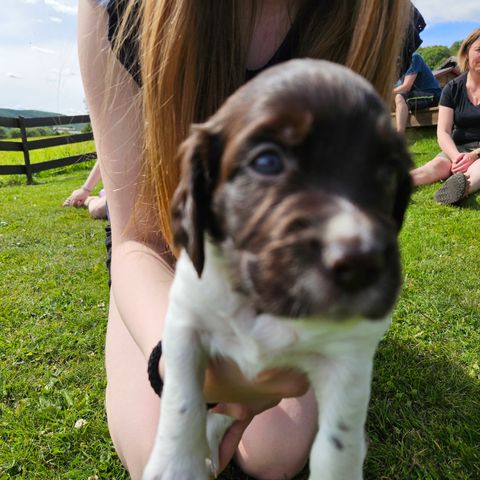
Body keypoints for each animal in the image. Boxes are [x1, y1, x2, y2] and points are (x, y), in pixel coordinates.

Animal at [142, 59, 412, 480]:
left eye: (388, 171)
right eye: (267, 161)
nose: (362, 263)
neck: (261, 300)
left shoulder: (348, 357)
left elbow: (337, 446)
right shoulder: (186, 321)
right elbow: (182, 401)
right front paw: (175, 466)